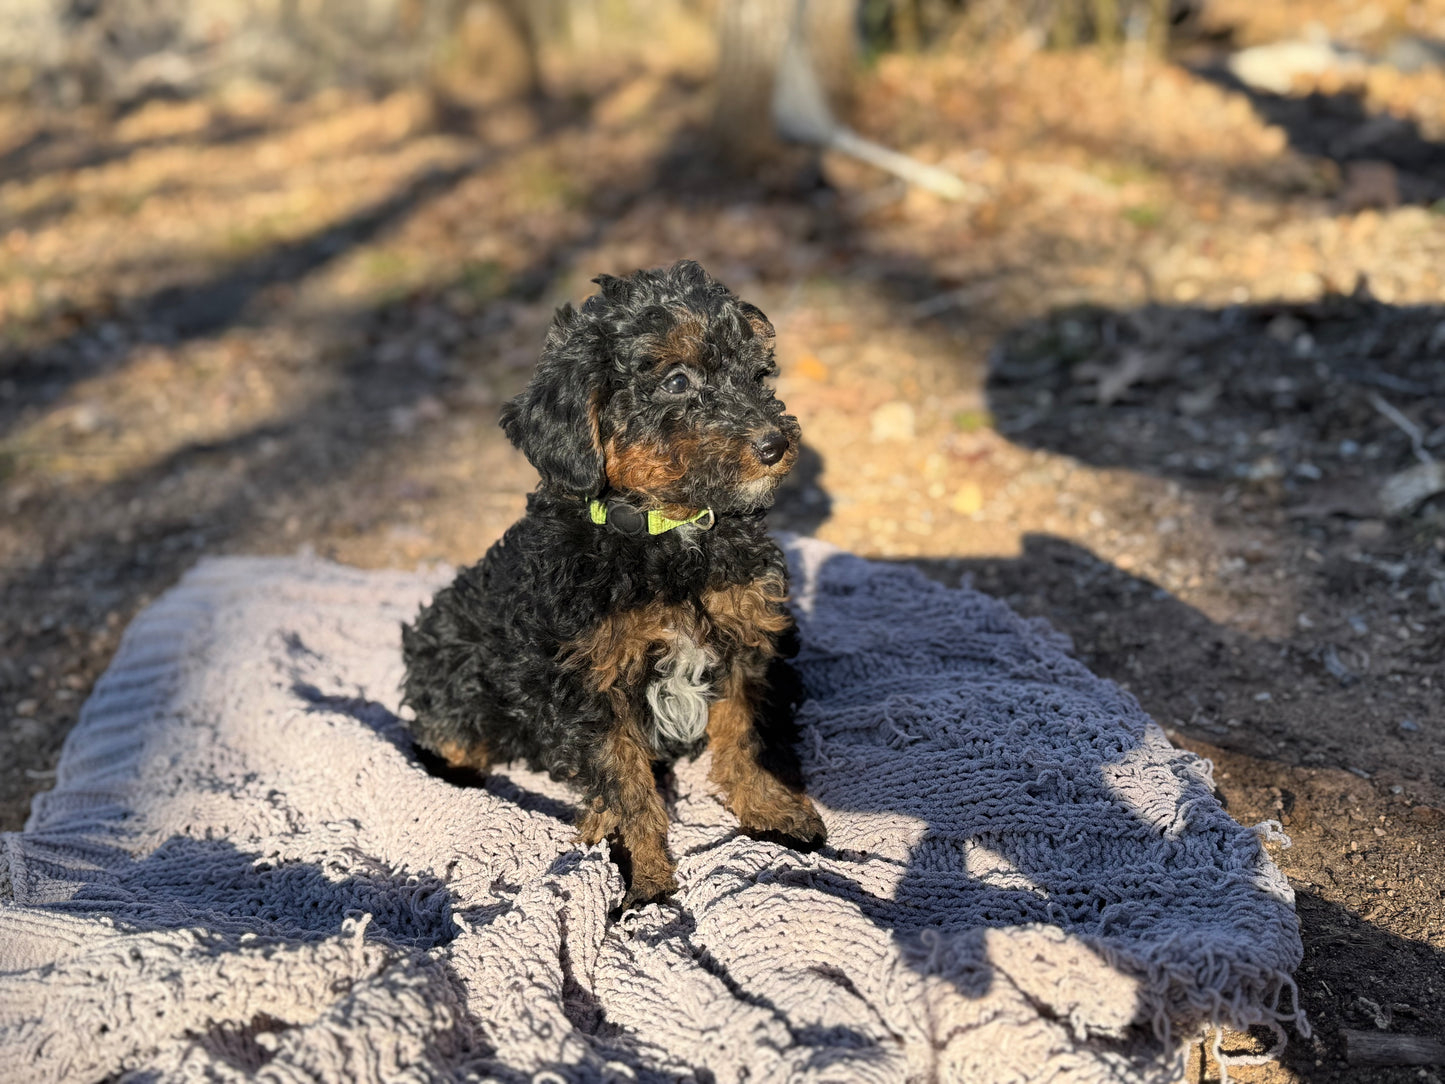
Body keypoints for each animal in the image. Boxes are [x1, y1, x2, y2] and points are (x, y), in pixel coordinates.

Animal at [401, 258, 826, 901]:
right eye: (677, 381)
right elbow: (625, 782)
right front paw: (645, 875)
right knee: (450, 735)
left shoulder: (744, 641)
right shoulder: (589, 681)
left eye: (758, 374)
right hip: (453, 655)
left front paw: (770, 810)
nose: (775, 444)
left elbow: (745, 735)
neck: (668, 530)